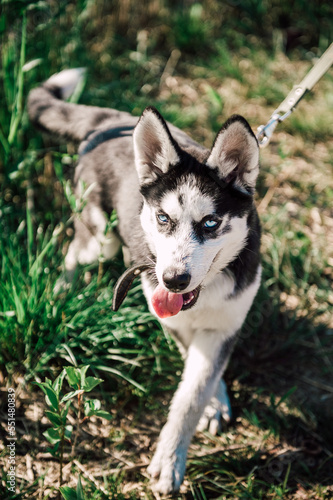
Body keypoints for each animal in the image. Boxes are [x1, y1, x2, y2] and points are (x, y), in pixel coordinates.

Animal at [28, 68, 260, 494]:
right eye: (164, 219)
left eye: (210, 223)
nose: (173, 280)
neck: (207, 291)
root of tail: (110, 122)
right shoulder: (173, 315)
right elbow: (190, 371)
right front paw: (171, 459)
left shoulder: (226, 322)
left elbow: (195, 390)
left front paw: (183, 441)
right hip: (98, 239)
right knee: (75, 252)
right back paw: (62, 291)